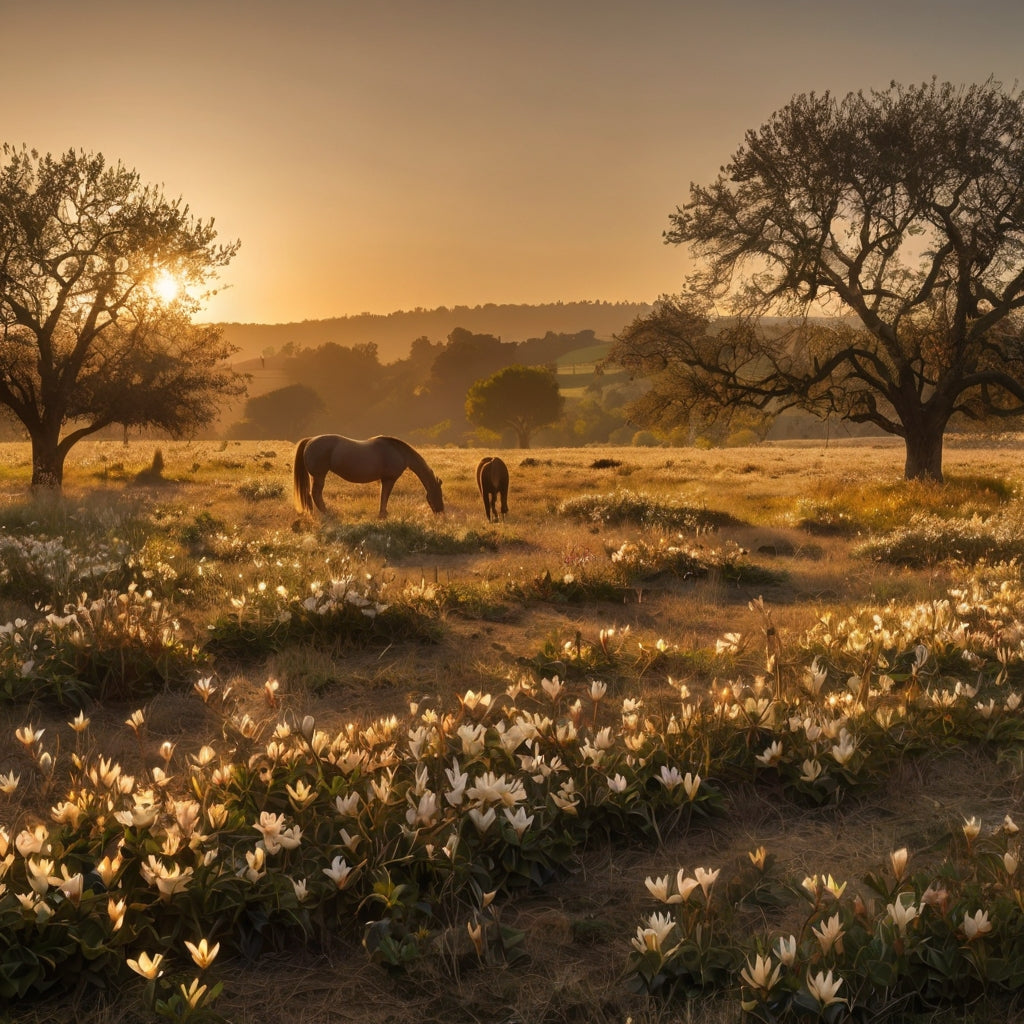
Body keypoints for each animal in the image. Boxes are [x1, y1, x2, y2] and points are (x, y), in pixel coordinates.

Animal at [292, 434, 444, 517]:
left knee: (310, 495)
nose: (441, 511)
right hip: (319, 476)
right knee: (316, 494)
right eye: (439, 494)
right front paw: (383, 514)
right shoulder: (389, 479)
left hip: (315, 476)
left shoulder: (385, 479)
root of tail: (310, 440)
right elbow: (385, 496)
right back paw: (327, 513)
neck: (399, 452)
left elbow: (383, 496)